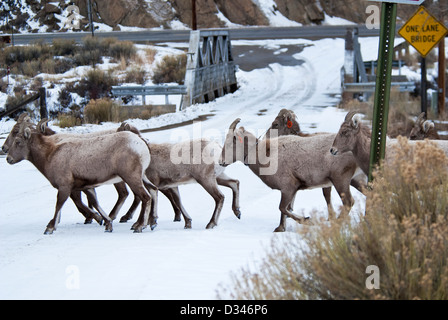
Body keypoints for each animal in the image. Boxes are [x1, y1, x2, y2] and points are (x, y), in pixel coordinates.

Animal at [6, 119, 158, 234]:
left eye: (18, 141)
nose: (8, 158)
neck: (50, 154)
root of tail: (141, 142)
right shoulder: (87, 187)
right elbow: (95, 203)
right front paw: (107, 224)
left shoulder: (65, 187)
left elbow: (60, 204)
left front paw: (50, 228)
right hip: (142, 177)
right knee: (153, 190)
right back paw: (151, 223)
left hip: (131, 178)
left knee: (144, 197)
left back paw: (139, 226)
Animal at [218, 119, 360, 231]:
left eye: (230, 143)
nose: (220, 161)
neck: (266, 155)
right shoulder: (289, 191)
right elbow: (285, 209)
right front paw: (281, 228)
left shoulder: (288, 188)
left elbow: (283, 208)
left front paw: (307, 220)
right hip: (355, 180)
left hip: (340, 180)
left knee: (349, 201)